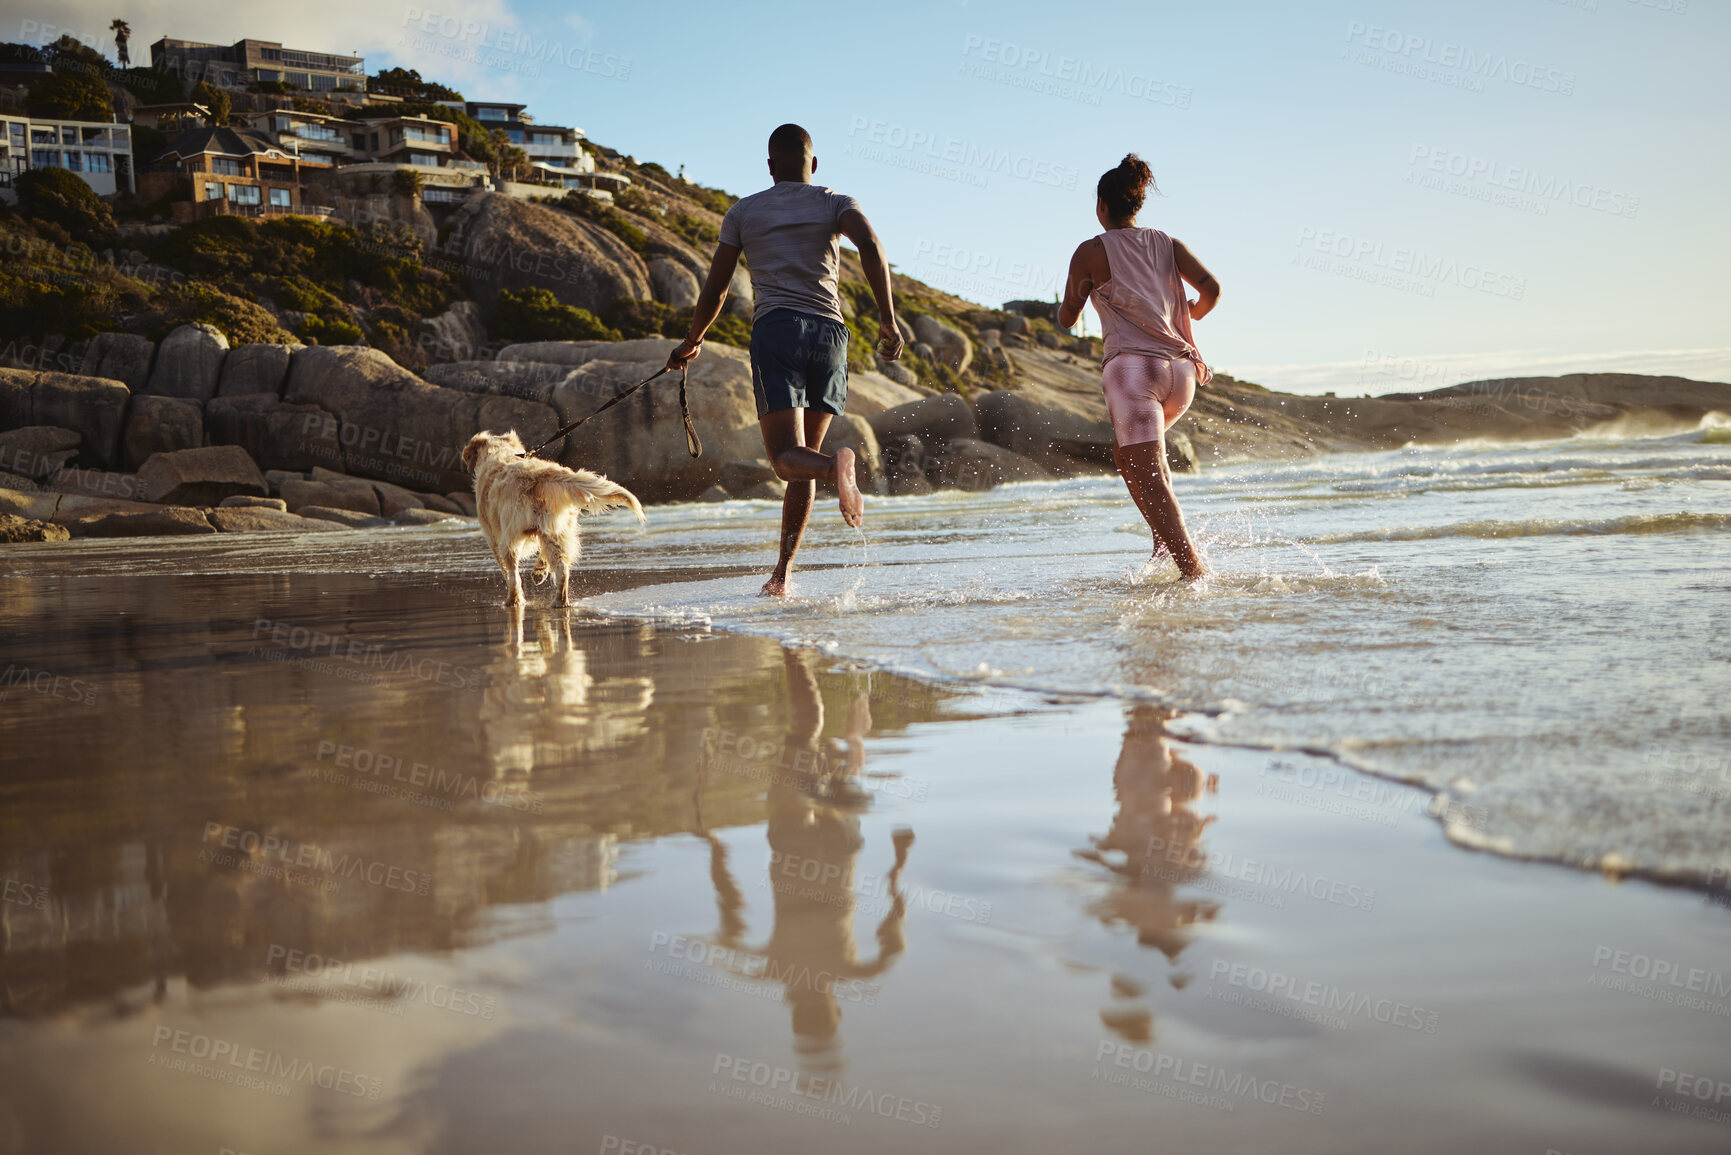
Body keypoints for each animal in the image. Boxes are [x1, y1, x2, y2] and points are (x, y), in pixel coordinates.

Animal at [463, 431, 647, 609]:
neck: (500, 450)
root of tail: (536, 475)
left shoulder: (493, 536)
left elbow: (505, 570)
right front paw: (540, 570)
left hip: (511, 536)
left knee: (514, 574)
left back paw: (513, 600)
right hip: (557, 530)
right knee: (562, 569)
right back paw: (559, 600)